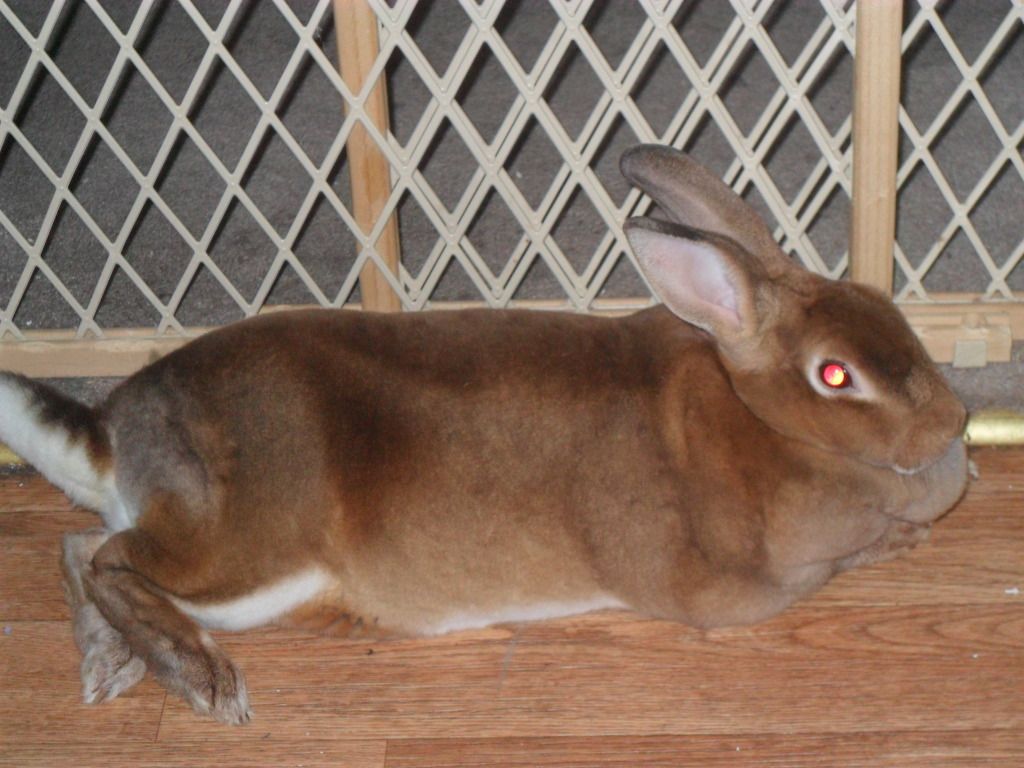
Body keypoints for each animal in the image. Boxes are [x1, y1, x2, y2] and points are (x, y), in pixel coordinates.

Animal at [0, 145, 968, 725]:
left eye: (887, 310)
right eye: (836, 376)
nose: (954, 423)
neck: (757, 416)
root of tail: (117, 430)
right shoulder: (744, 589)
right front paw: (903, 537)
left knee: (81, 549)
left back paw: (110, 669)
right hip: (247, 549)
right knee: (109, 559)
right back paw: (200, 678)